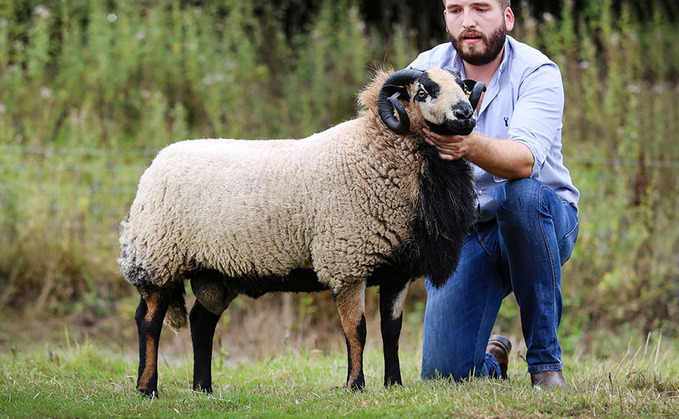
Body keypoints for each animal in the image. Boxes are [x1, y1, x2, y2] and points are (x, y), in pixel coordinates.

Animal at [119, 67, 486, 398]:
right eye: (422, 92)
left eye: (462, 87)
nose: (465, 115)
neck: (378, 153)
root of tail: (157, 162)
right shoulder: (346, 262)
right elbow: (356, 330)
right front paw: (355, 385)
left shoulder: (398, 270)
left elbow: (391, 330)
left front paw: (393, 384)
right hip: (159, 258)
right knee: (148, 321)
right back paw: (147, 388)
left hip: (214, 273)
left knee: (200, 322)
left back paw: (203, 388)